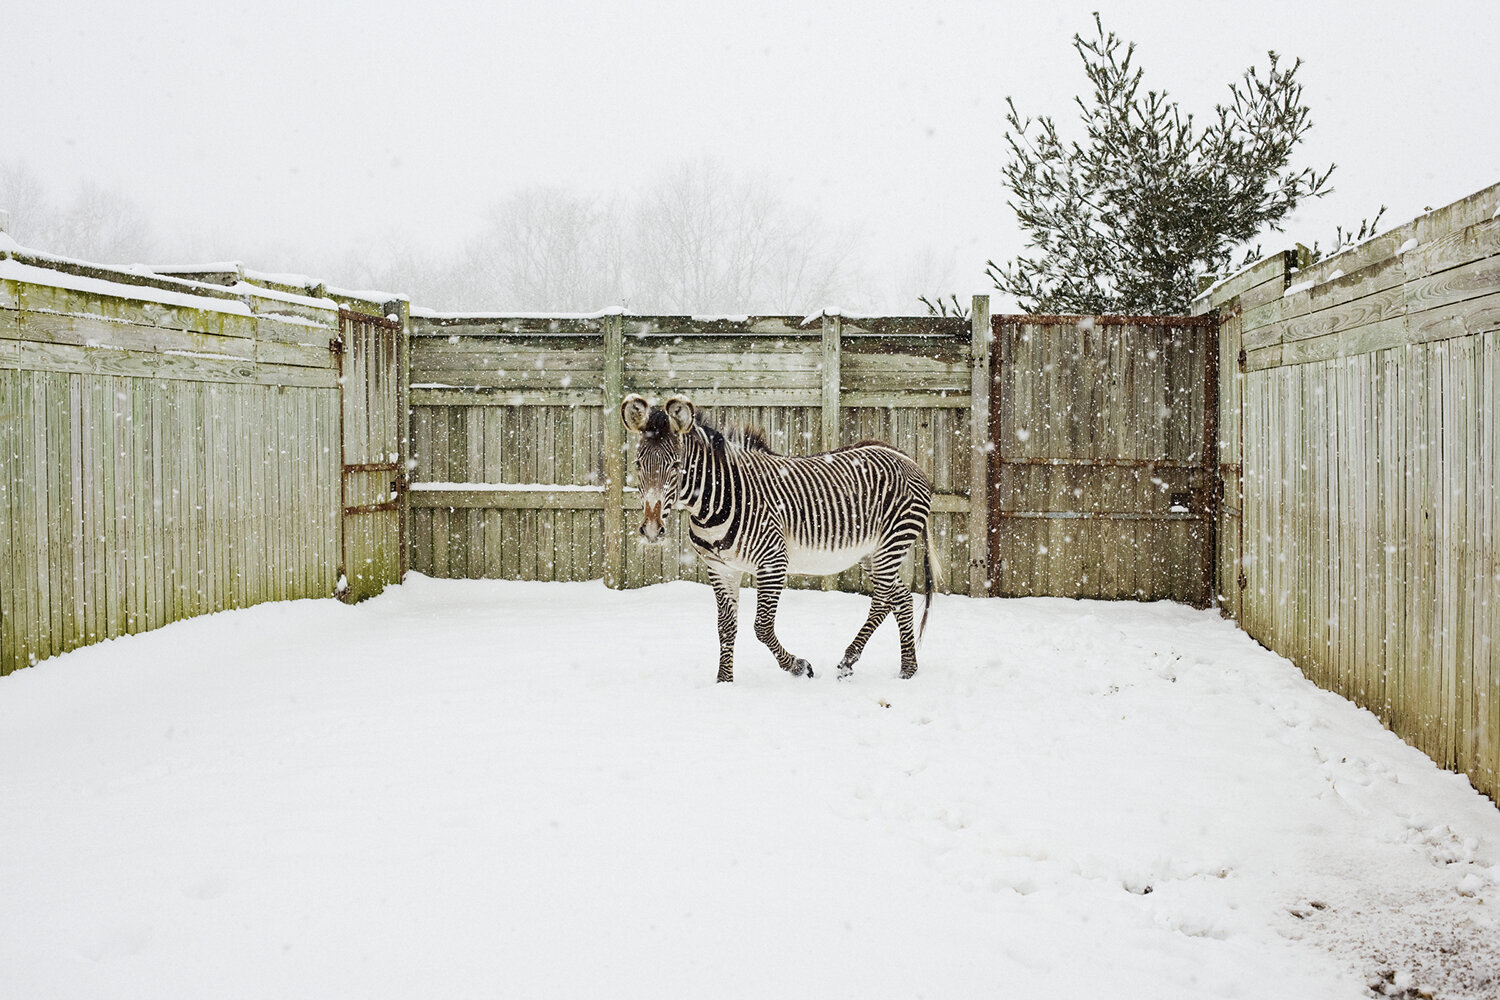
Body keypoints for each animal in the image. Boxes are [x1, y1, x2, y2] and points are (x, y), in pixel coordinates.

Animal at [621, 393, 940, 683]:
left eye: (676, 465)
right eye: (637, 464)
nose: (652, 529)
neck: (714, 502)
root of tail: (904, 456)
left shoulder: (773, 562)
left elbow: (761, 627)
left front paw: (799, 667)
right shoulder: (720, 568)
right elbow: (725, 626)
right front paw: (724, 682)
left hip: (892, 542)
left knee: (884, 598)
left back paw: (850, 659)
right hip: (871, 553)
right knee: (901, 596)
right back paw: (908, 669)